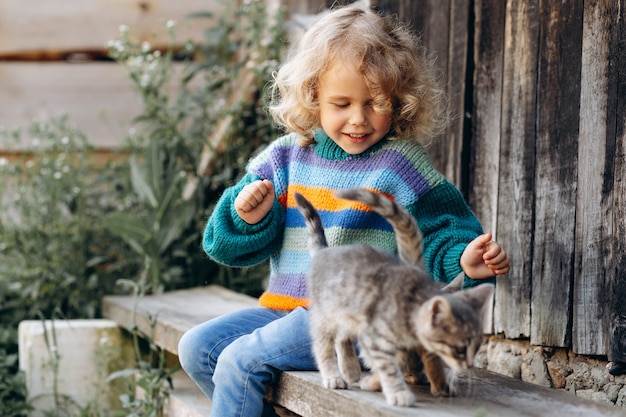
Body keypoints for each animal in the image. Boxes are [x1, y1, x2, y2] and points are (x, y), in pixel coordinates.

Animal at [292, 188, 492, 406]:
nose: (468, 365)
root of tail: (325, 252)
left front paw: (435, 381)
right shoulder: (377, 336)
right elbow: (388, 363)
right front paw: (393, 386)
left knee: (342, 337)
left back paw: (352, 369)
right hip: (325, 314)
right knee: (324, 345)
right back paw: (334, 376)